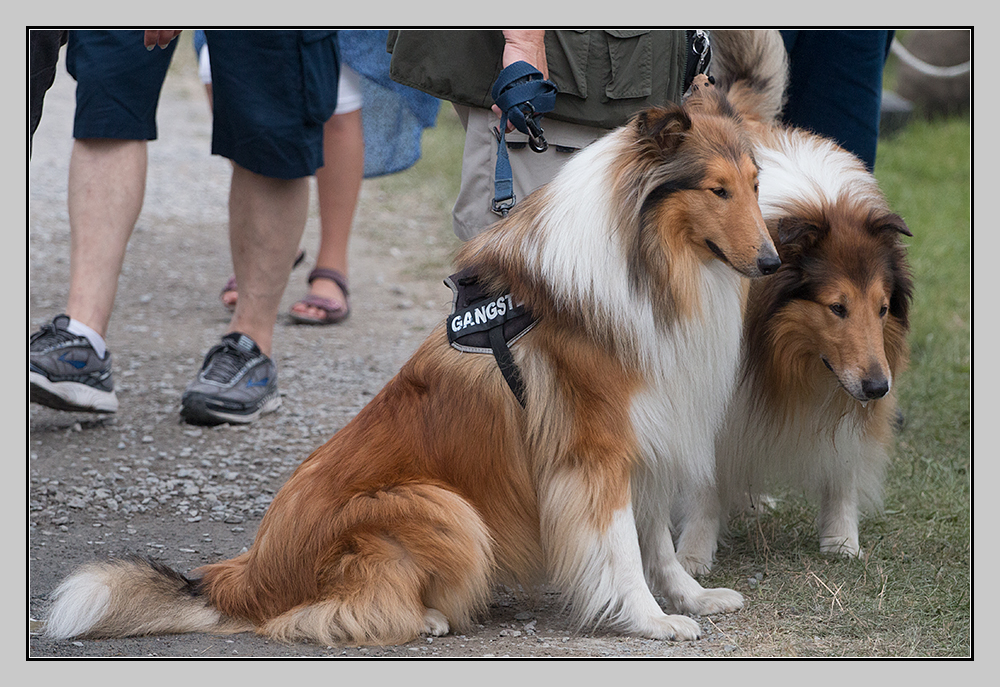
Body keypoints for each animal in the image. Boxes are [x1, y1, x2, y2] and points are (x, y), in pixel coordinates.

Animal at [45, 45, 788, 648]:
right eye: (717, 189)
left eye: (757, 186)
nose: (774, 262)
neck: (653, 263)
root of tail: (247, 572)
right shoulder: (596, 449)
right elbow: (622, 549)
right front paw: (650, 619)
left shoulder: (652, 430)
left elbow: (656, 539)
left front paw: (692, 596)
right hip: (443, 506)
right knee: (321, 613)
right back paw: (425, 615)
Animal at [672, 30, 916, 576]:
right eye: (836, 307)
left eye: (883, 308)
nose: (879, 388)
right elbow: (704, 481)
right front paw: (693, 555)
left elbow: (841, 466)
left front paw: (842, 541)